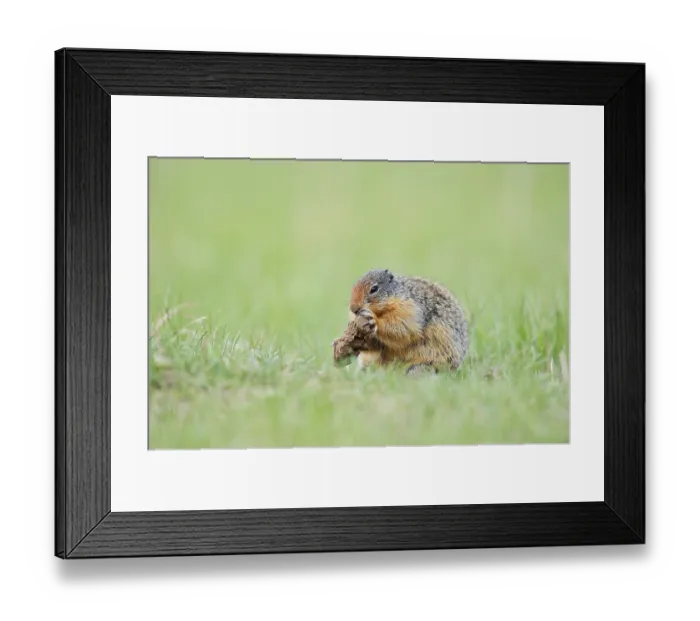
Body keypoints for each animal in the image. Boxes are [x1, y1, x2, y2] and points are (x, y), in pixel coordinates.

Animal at [332, 269, 468, 375]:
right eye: (353, 287)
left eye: (374, 288)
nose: (353, 308)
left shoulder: (408, 309)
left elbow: (402, 327)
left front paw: (374, 321)